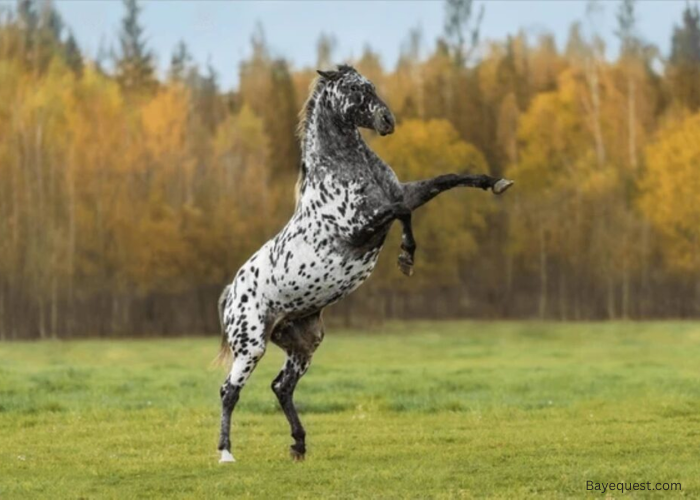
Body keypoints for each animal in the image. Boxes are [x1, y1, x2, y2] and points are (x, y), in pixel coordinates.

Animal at [216, 64, 513, 463]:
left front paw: (496, 182)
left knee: (281, 387)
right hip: (250, 345)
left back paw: (299, 445)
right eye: (355, 91)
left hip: (304, 344)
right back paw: (226, 453)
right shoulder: (360, 227)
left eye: (371, 86)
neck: (343, 167)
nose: (388, 121)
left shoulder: (401, 193)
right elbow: (401, 212)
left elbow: (443, 181)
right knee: (229, 391)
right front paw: (406, 256)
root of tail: (231, 293)